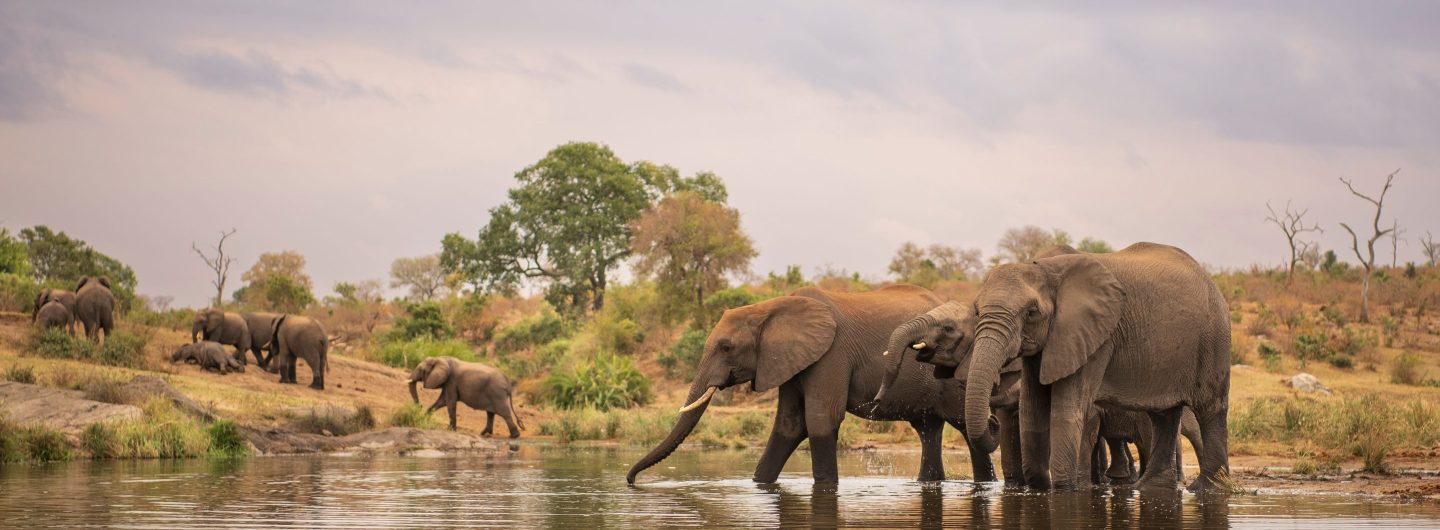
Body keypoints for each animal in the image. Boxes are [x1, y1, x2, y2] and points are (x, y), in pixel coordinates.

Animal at [630, 285, 1002, 483]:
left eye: (725, 347)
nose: (631, 480)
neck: (772, 307)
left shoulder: (830, 356)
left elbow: (821, 421)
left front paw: (824, 487)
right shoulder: (791, 361)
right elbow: (789, 426)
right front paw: (759, 484)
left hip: (956, 380)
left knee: (967, 427)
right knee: (928, 430)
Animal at [961, 244, 1232, 492]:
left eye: (1031, 312)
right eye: (977, 311)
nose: (993, 421)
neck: (1046, 268)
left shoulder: (1093, 337)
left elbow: (1067, 410)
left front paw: (1066, 490)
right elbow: (1032, 408)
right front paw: (1041, 488)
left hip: (1213, 337)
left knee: (1209, 409)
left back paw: (1207, 488)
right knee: (1163, 415)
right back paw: (1150, 487)